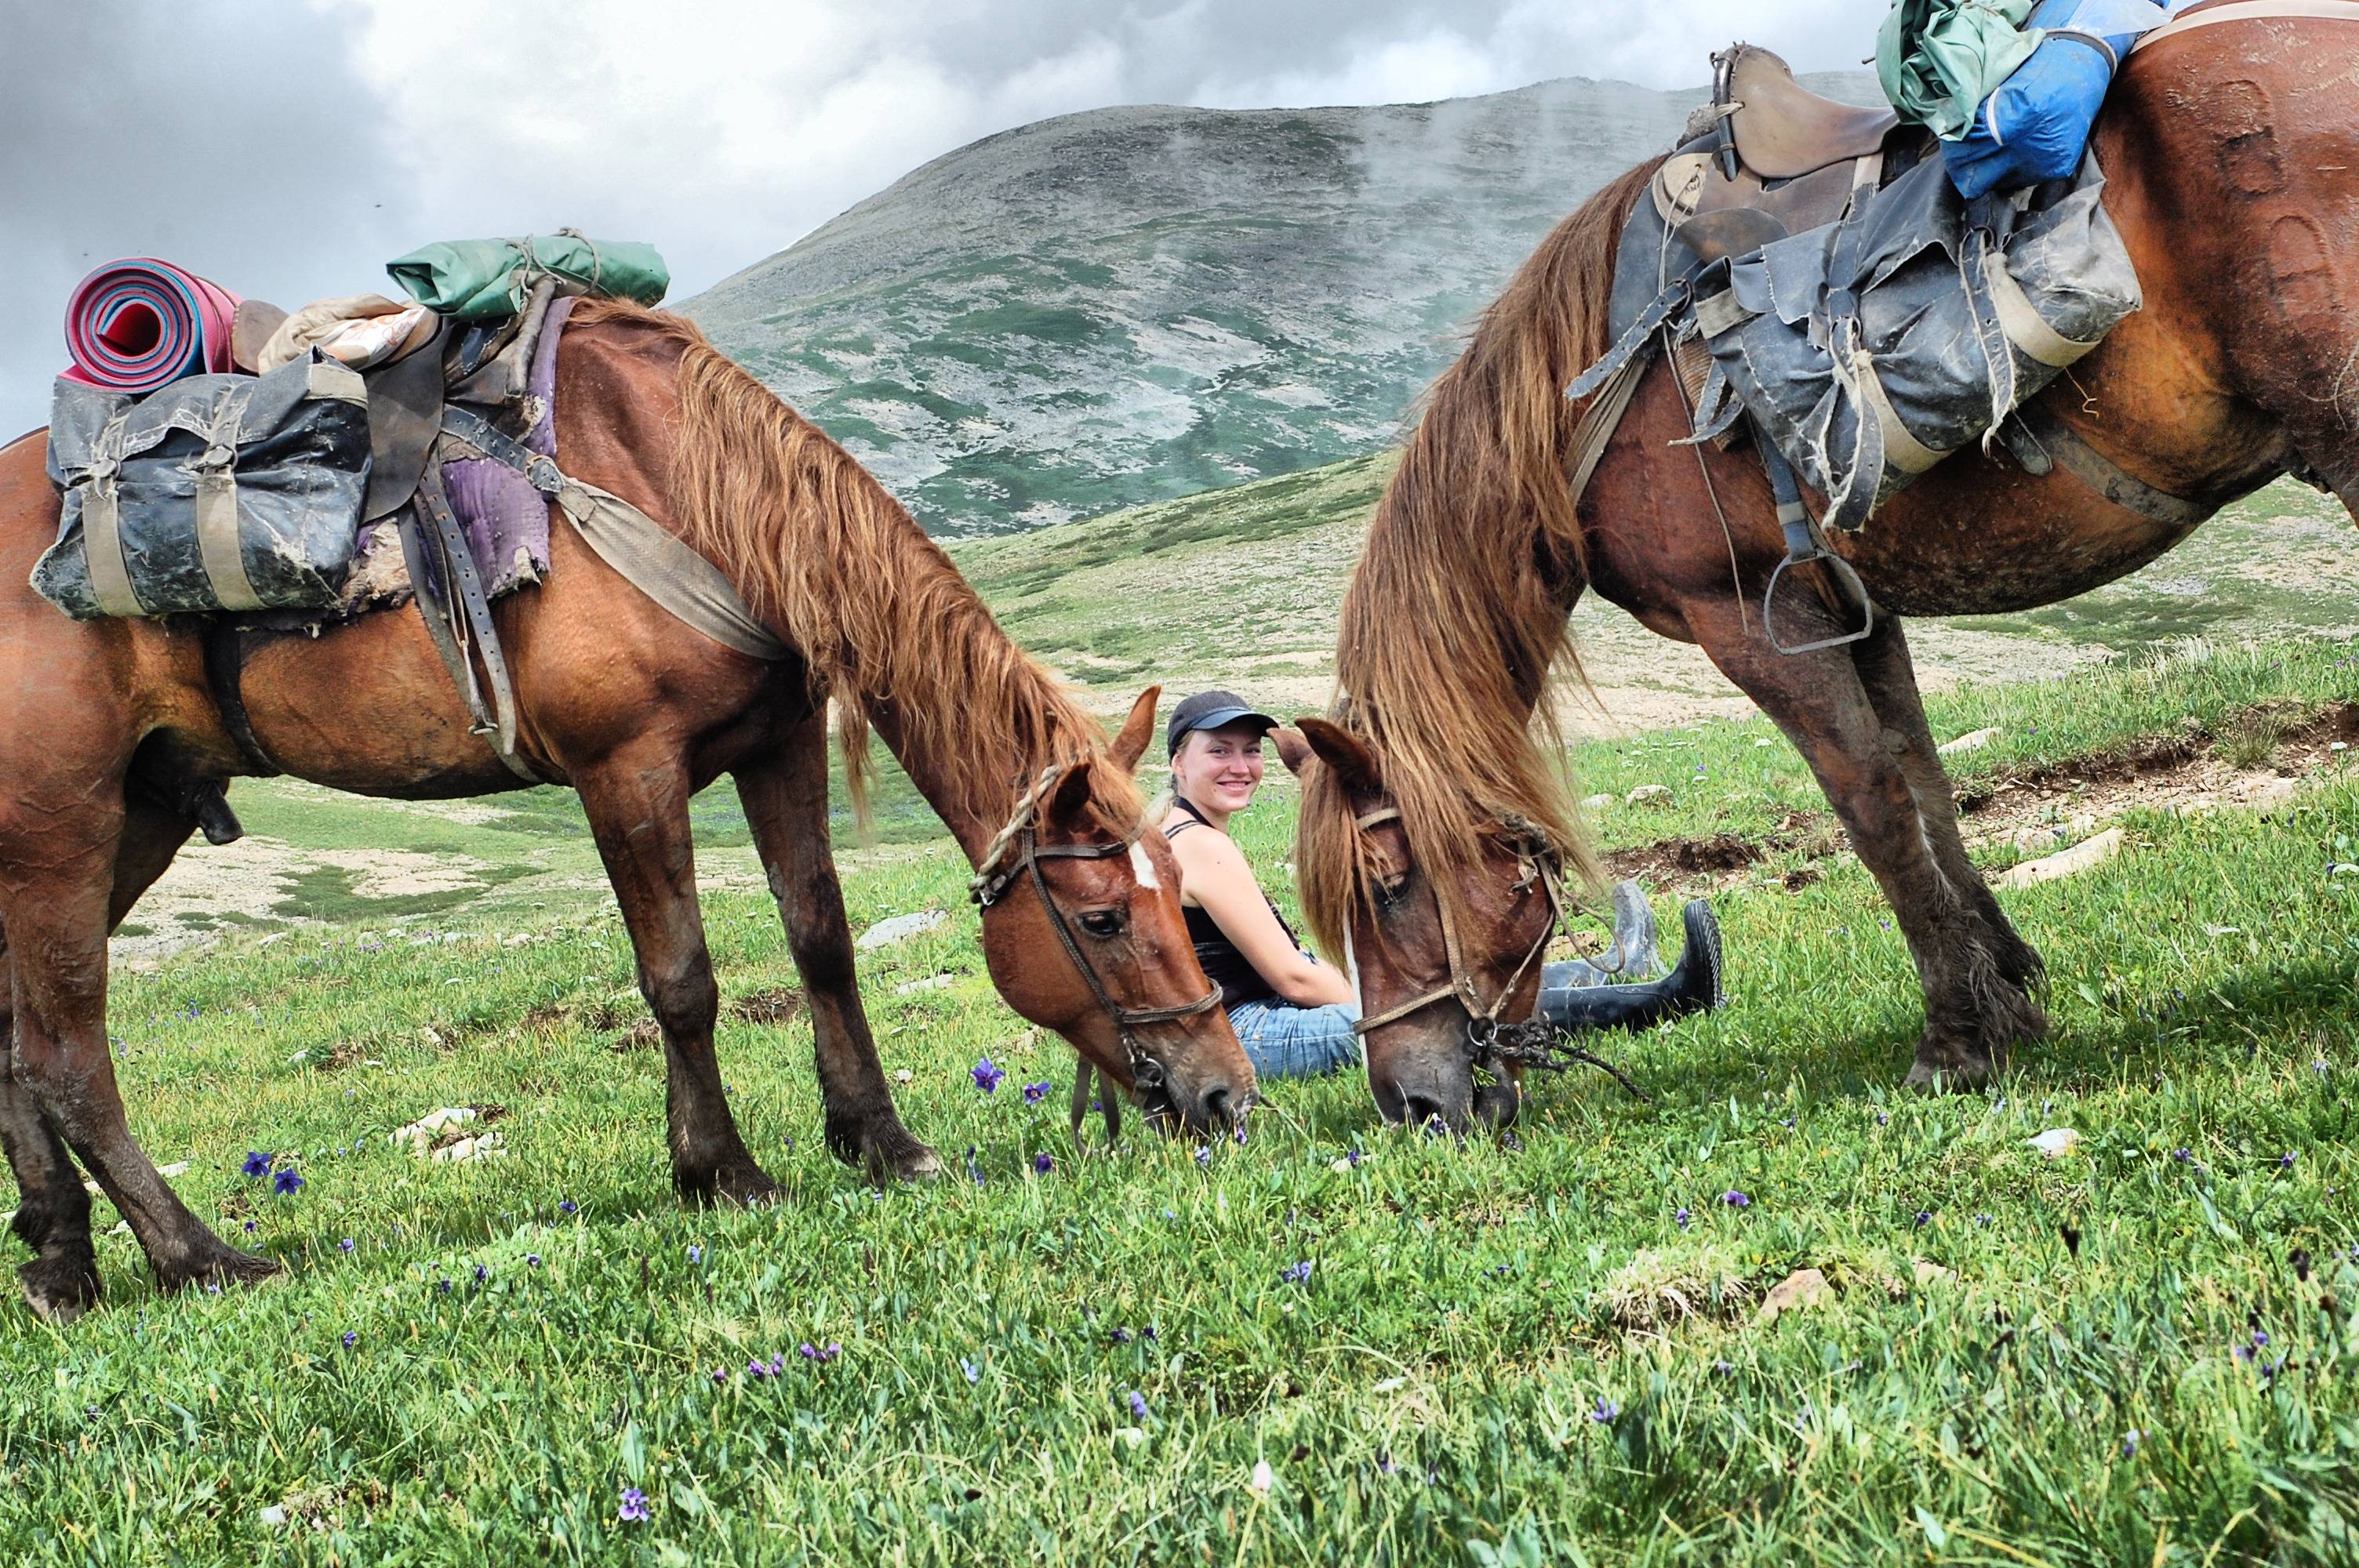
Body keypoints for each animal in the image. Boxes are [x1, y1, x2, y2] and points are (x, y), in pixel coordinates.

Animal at [0, 299, 1255, 1311]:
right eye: (1101, 920)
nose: (1226, 1099)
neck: (694, 491)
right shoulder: (628, 770)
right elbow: (682, 978)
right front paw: (721, 1170)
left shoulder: (778, 745)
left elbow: (821, 937)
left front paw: (881, 1140)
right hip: (65, 830)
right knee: (69, 1054)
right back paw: (199, 1257)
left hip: (139, 817)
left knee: (15, 1044)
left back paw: (64, 1264)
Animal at [1302, 21, 2359, 1127]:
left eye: (1384, 884)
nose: (1412, 1102)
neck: (1579, 396)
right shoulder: (1856, 606)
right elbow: (1923, 782)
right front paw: (2005, 990)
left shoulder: (1747, 618)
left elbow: (1870, 806)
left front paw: (1955, 1038)